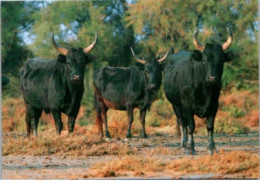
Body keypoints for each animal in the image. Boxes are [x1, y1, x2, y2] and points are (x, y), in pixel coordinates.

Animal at [162, 26, 234, 155]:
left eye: (221, 59)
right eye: (204, 59)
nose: (212, 78)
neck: (205, 90)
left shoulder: (214, 105)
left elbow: (210, 126)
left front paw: (211, 148)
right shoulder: (187, 106)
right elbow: (191, 126)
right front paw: (190, 147)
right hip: (176, 106)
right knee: (182, 124)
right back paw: (183, 144)